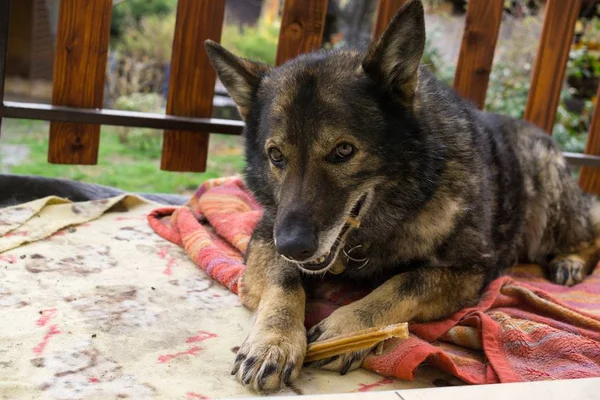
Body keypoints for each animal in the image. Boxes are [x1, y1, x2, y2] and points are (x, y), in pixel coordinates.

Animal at [205, 0, 600, 394]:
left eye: (344, 151)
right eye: (276, 156)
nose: (293, 246)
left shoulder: (469, 270)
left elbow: (404, 282)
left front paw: (349, 328)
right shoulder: (265, 237)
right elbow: (285, 281)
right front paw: (274, 341)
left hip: (550, 210)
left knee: (590, 229)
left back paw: (570, 261)